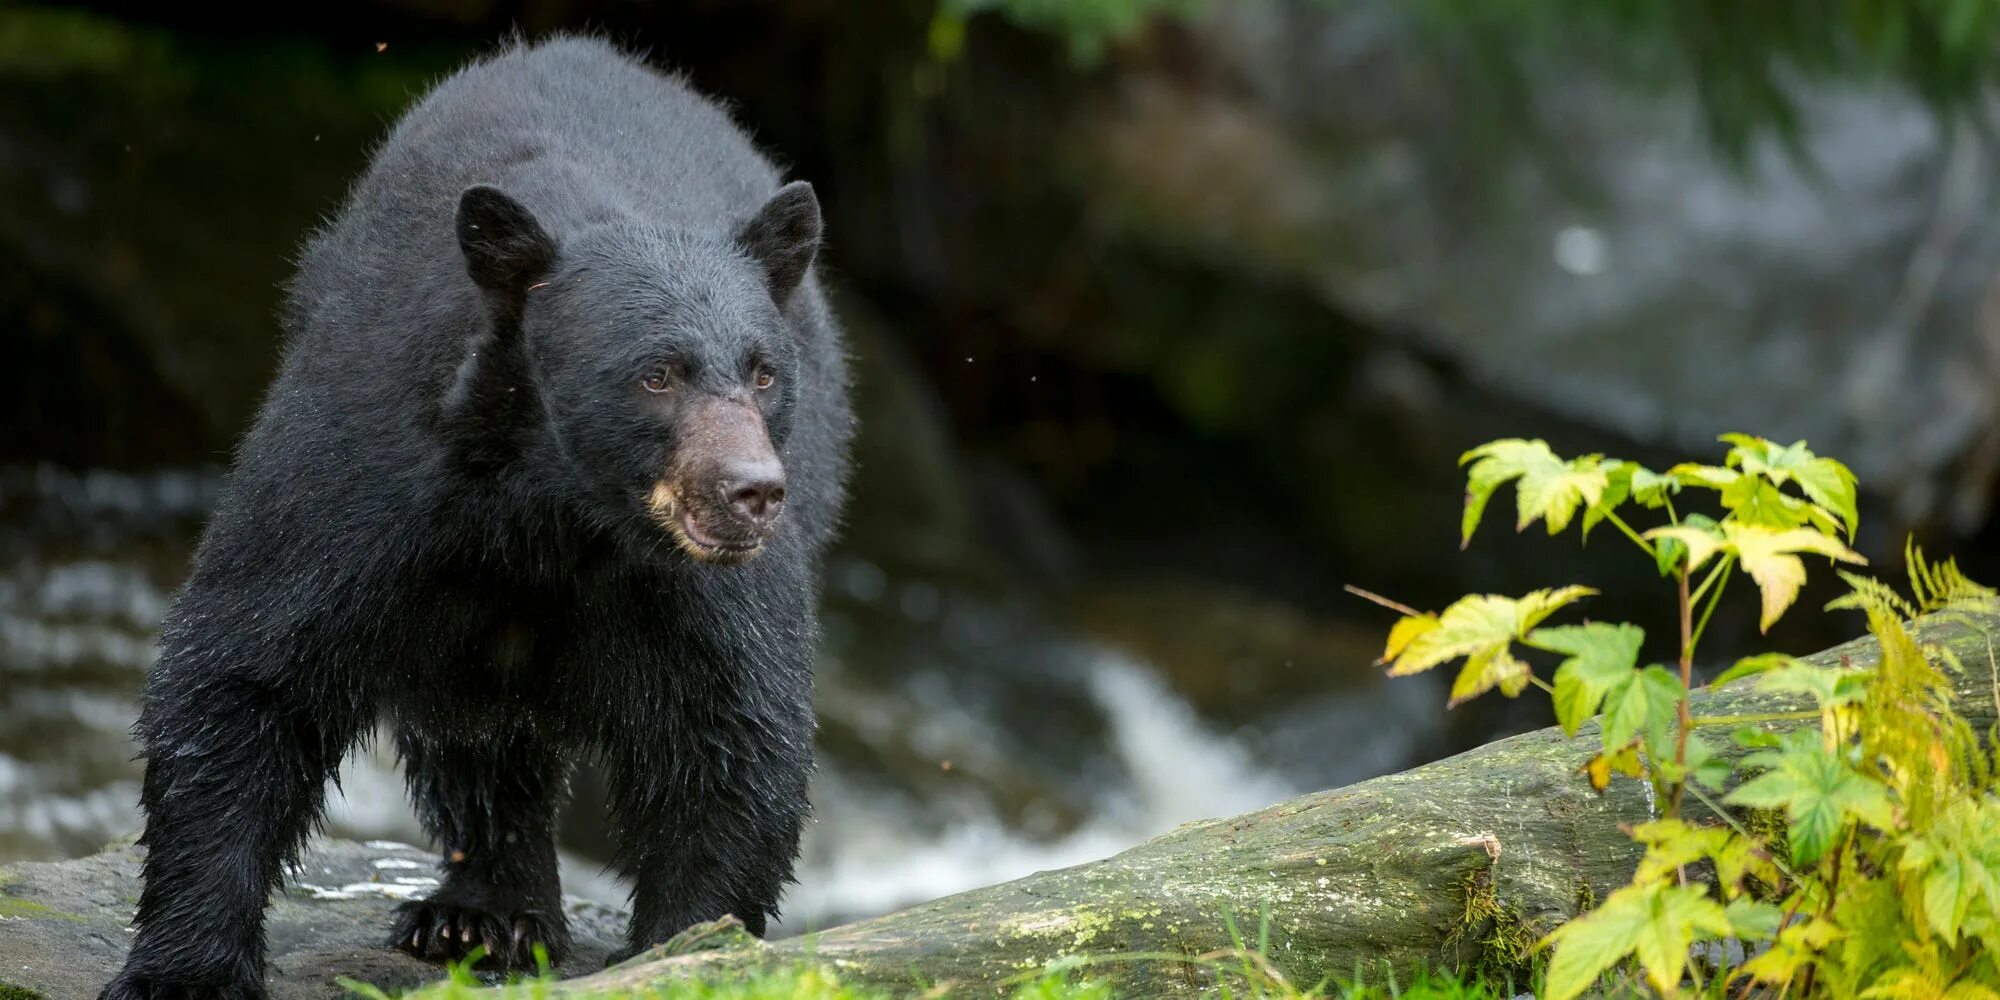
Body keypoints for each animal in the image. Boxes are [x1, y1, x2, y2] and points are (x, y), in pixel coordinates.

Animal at [101, 35, 852, 996]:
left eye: (762, 372)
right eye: (656, 373)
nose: (751, 491)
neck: (556, 511)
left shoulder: (694, 585)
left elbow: (730, 728)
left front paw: (686, 947)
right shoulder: (370, 476)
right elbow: (249, 668)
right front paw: (185, 969)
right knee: (476, 737)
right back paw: (482, 915)